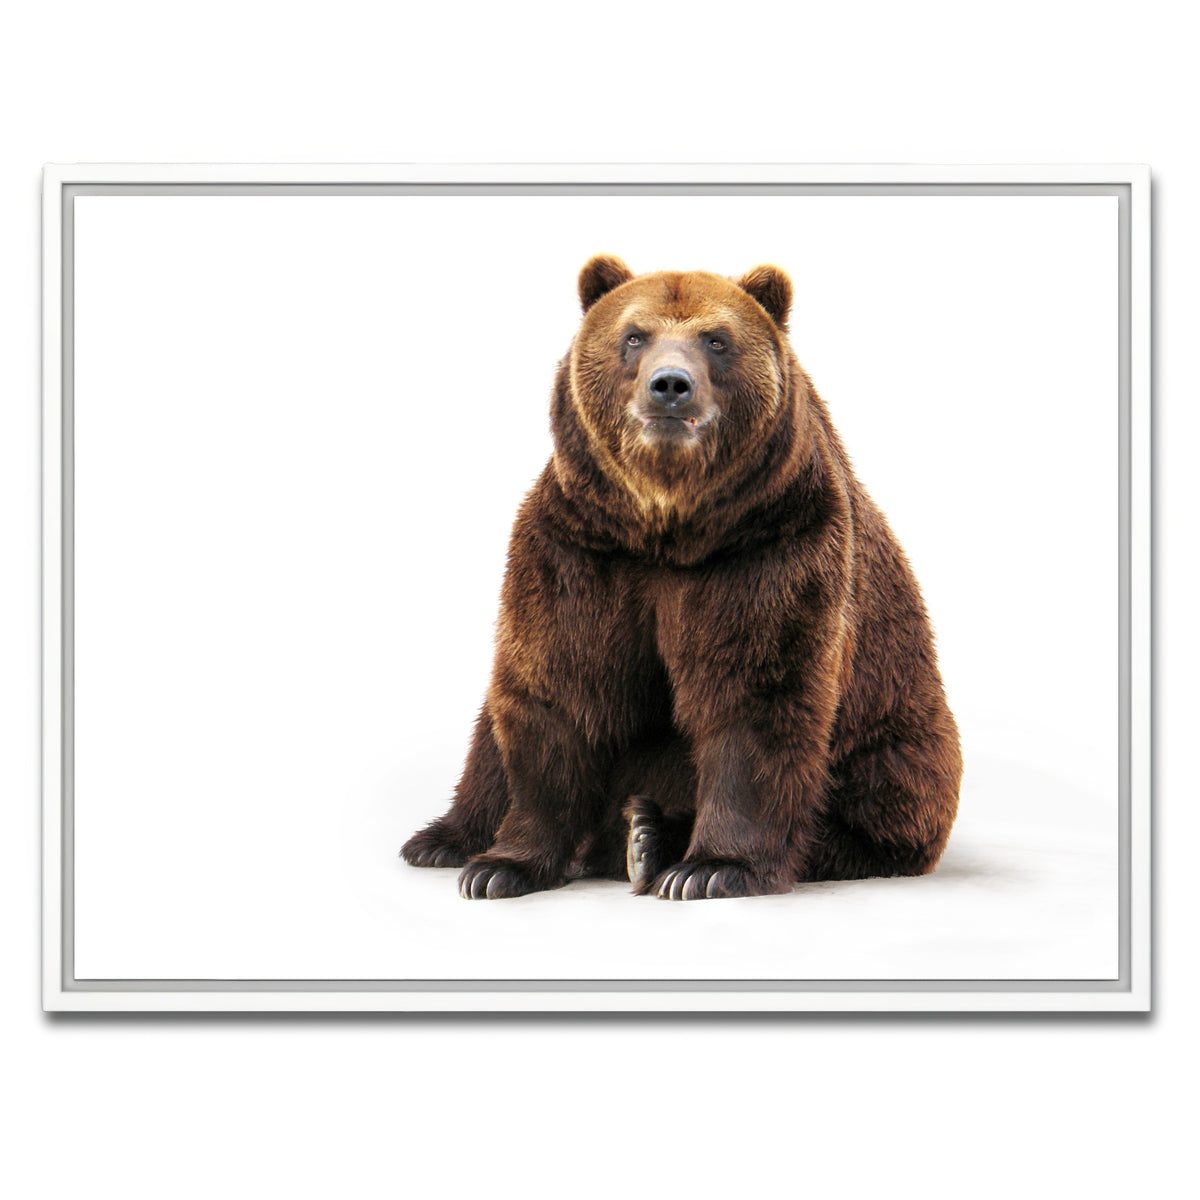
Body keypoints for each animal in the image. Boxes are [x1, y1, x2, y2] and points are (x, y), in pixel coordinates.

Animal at [401, 255, 962, 900]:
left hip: (897, 736)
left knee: (871, 801)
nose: (670, 384)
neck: (667, 526)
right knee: (489, 737)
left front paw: (712, 867)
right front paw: (501, 866)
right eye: (633, 335)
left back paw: (649, 836)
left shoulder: (769, 547)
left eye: (716, 340)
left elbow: (754, 696)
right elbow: (558, 687)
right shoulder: (581, 549)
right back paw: (444, 839)